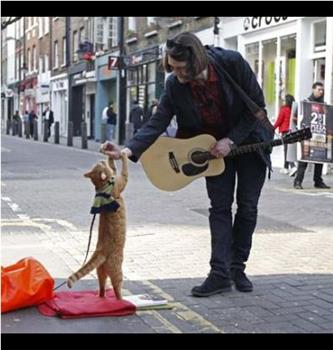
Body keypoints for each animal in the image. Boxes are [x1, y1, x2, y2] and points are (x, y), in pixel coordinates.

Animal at [65, 152, 127, 300]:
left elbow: (114, 167)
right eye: (100, 164)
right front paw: (123, 154)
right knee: (117, 288)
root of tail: (100, 251)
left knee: (102, 287)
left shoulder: (114, 175)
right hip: (117, 271)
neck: (102, 187)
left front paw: (111, 154)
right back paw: (121, 299)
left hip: (101, 271)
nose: (101, 159)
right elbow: (124, 169)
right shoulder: (121, 181)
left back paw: (101, 296)